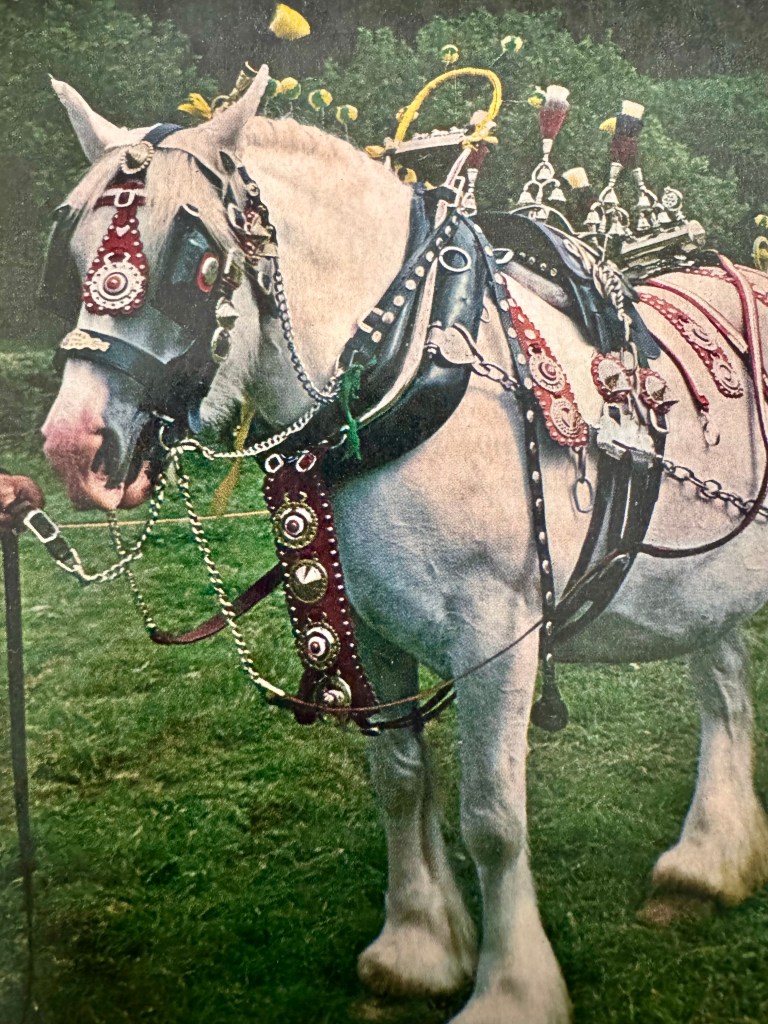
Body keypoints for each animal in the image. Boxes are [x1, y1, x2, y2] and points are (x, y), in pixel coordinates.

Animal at [40, 67, 768, 1023]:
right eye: (75, 242)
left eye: (195, 261)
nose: (73, 446)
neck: (405, 366)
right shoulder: (373, 625)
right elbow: (399, 778)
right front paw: (418, 946)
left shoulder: (499, 634)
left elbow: (492, 817)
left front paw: (510, 989)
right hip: (707, 581)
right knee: (724, 688)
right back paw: (712, 860)